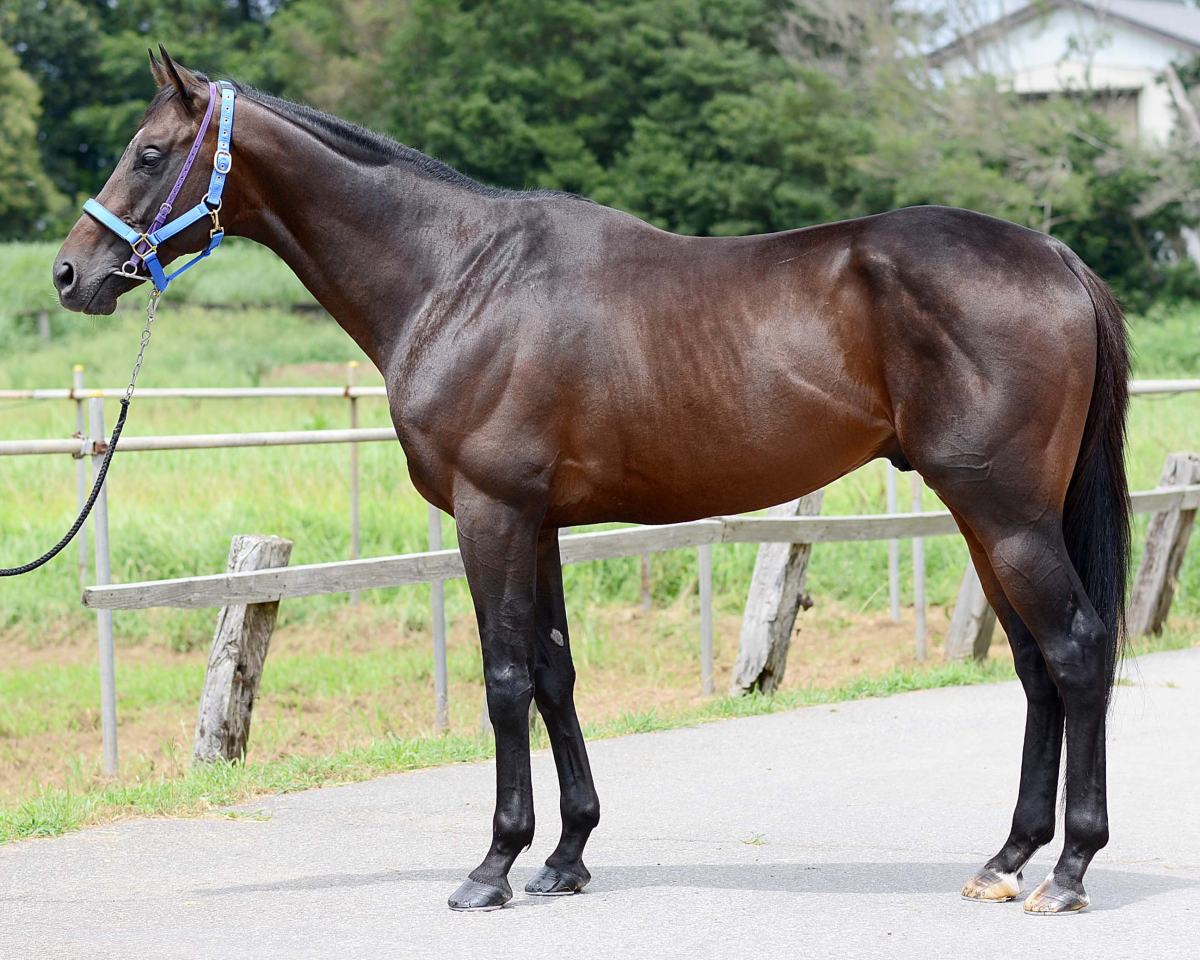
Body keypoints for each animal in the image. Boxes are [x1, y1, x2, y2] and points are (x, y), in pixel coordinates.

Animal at [53, 48, 1130, 915]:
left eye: (149, 152)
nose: (70, 274)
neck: (458, 275)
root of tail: (1057, 258)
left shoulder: (490, 513)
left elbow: (503, 679)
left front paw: (493, 866)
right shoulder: (538, 523)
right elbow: (555, 675)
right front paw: (565, 856)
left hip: (1006, 513)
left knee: (1077, 652)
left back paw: (1070, 871)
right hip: (989, 518)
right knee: (1035, 666)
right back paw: (1008, 859)